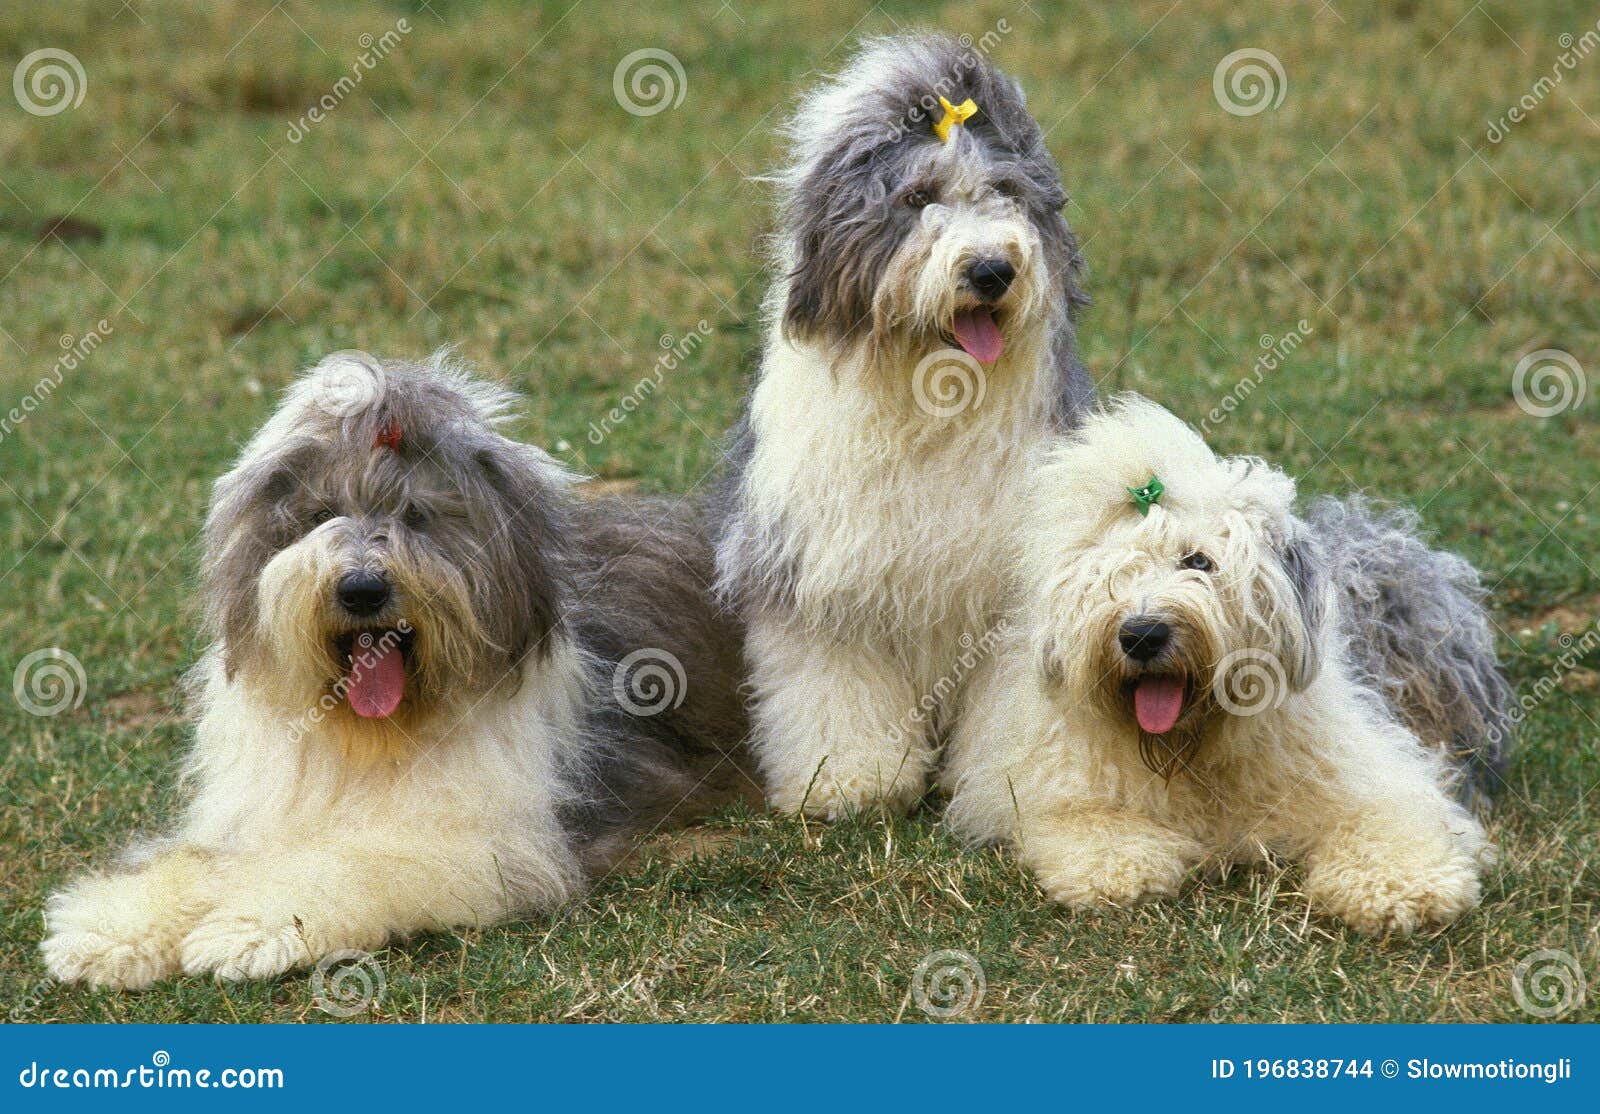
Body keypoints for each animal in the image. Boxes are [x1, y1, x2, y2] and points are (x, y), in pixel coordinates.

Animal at [40, 355, 752, 985]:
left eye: (416, 516)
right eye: (321, 514)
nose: (361, 589)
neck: (372, 736)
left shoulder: (496, 842)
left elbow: (355, 863)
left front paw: (250, 929)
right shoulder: (260, 813)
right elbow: (200, 861)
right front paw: (113, 929)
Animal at [716, 34, 1100, 819]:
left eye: (1006, 192)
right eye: (918, 199)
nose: (990, 270)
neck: (932, 396)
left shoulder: (1014, 592)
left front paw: (1006, 788)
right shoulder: (815, 572)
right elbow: (834, 685)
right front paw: (848, 780)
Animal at [947, 395, 1510, 934]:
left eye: (1198, 561)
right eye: (1108, 571)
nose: (1142, 634)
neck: (1190, 751)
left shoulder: (1361, 770)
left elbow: (1387, 817)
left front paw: (1404, 887)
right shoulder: (1049, 782)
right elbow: (1084, 820)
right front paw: (1121, 868)